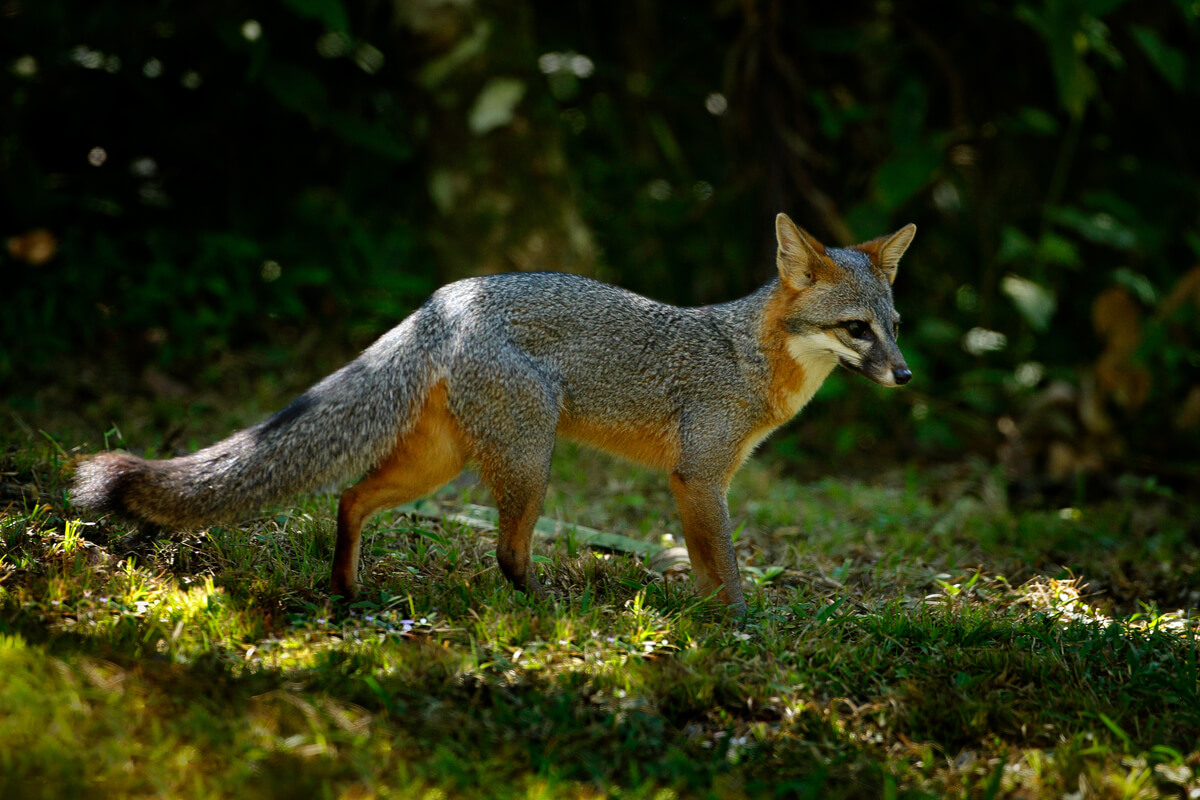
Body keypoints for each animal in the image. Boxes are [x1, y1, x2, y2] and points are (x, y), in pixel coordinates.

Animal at [72, 214, 915, 614]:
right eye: (856, 330)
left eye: (896, 325)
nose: (905, 375)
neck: (749, 355)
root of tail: (444, 299)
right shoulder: (698, 478)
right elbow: (728, 575)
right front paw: (739, 630)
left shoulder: (701, 485)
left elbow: (709, 574)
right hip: (531, 464)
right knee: (506, 554)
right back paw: (554, 610)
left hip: (441, 462)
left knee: (350, 497)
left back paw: (346, 591)